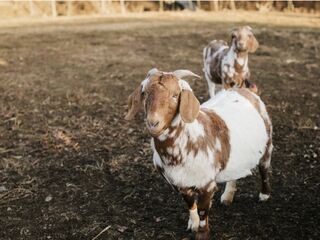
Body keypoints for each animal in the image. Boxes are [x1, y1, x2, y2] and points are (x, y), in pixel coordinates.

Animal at [125, 68, 272, 239]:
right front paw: (193, 224)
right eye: (144, 93)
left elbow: (203, 211)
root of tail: (245, 90)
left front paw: (202, 234)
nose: (153, 123)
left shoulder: (206, 184)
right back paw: (227, 196)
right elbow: (190, 203)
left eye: (175, 95)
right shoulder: (180, 183)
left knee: (264, 168)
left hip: (267, 143)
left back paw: (264, 194)